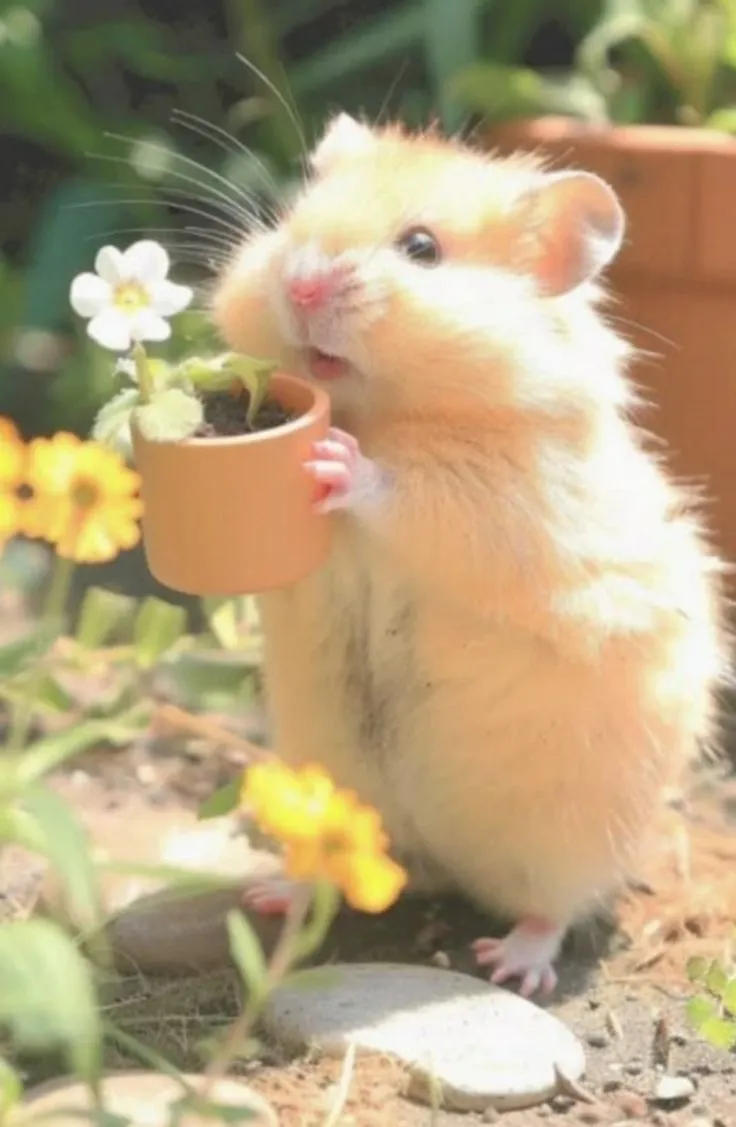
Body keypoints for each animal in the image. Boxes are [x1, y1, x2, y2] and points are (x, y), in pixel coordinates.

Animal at [211, 114, 729, 995]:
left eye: (421, 248)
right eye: (292, 218)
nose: (301, 287)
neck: (385, 409)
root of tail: (437, 862)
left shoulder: (492, 504)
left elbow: (403, 494)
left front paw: (335, 461)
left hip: (568, 835)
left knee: (554, 907)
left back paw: (510, 964)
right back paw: (270, 895)